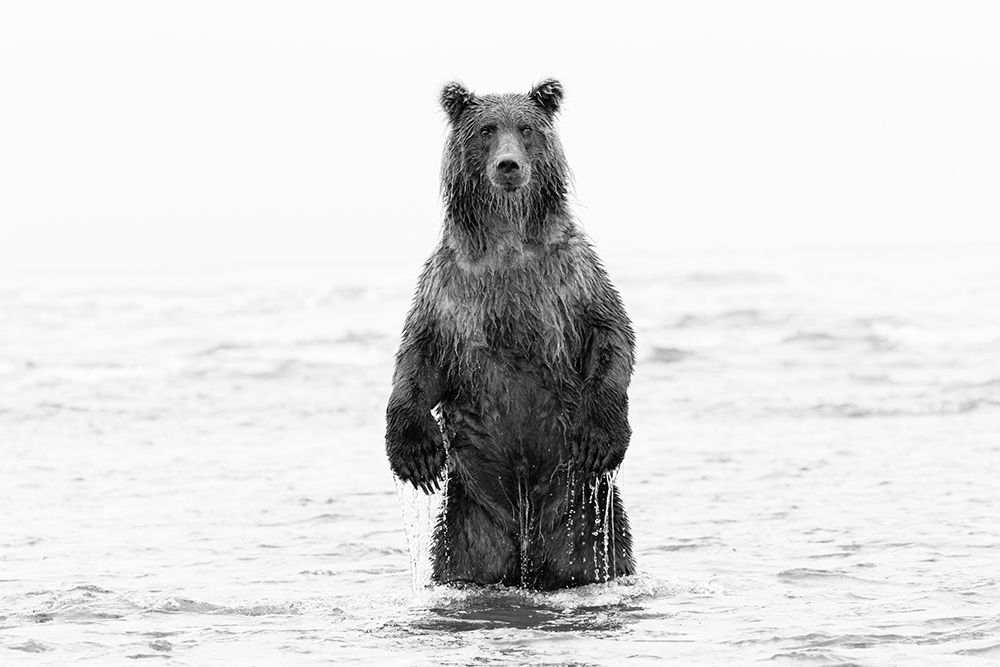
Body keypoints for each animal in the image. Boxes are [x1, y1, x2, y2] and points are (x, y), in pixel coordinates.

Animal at [385, 79, 635, 590]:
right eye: (485, 129)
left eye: (525, 128)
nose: (508, 165)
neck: (507, 241)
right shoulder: (449, 290)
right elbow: (418, 357)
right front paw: (415, 454)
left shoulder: (570, 281)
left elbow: (611, 335)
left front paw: (600, 439)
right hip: (466, 528)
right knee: (460, 561)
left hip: (586, 520)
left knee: (605, 555)